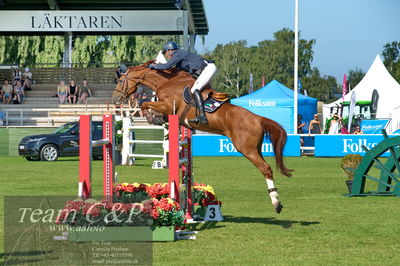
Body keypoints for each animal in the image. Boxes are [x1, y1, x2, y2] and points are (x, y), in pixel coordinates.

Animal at [111, 61, 292, 213]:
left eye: (120, 81)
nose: (115, 99)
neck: (166, 81)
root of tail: (258, 118)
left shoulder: (167, 105)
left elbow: (145, 104)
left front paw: (152, 117)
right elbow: (150, 107)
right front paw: (157, 119)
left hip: (247, 149)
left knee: (266, 169)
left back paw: (276, 202)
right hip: (256, 148)